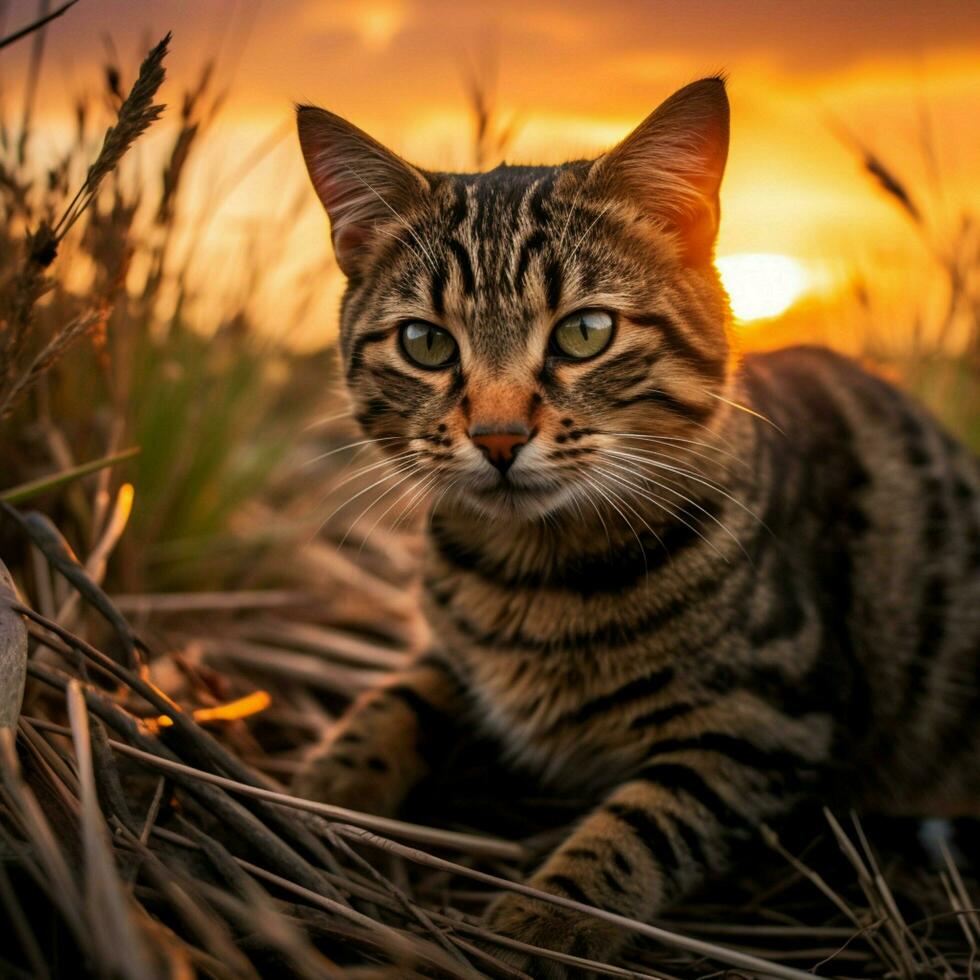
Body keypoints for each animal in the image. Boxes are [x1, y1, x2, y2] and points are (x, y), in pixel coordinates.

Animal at [290, 76, 980, 972]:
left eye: (586, 332)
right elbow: (384, 707)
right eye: (425, 343)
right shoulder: (452, 662)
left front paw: (536, 924)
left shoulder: (764, 719)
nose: (498, 437)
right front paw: (311, 795)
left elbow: (639, 829)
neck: (529, 576)